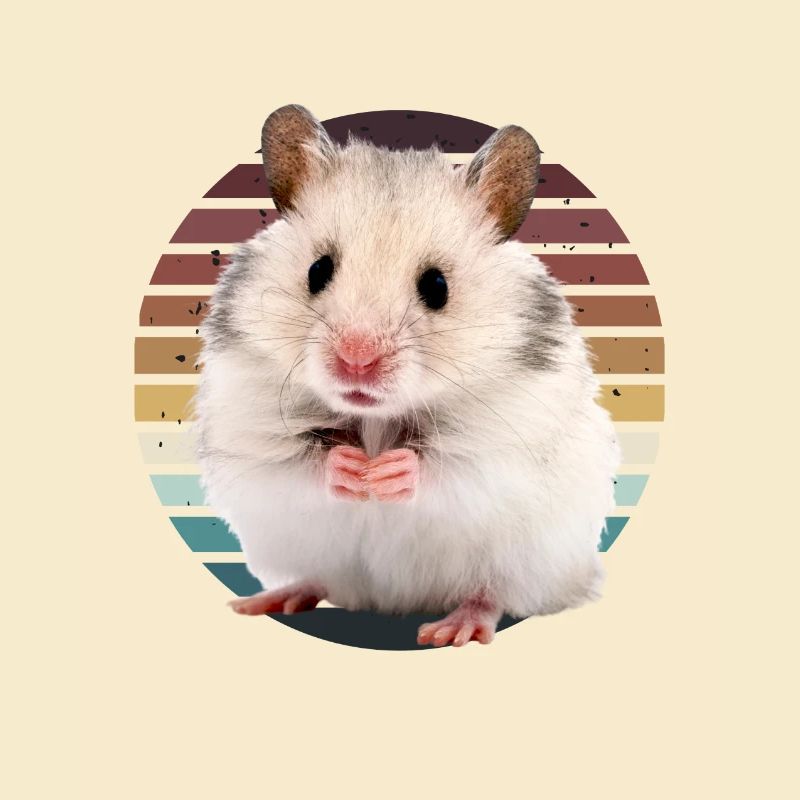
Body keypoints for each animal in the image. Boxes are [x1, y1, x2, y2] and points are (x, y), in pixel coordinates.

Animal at [194, 104, 621, 647]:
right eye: (317, 270)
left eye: (436, 286)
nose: (356, 360)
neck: (376, 419)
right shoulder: (250, 435)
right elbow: (296, 464)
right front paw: (352, 469)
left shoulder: (506, 449)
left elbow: (449, 469)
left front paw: (387, 473)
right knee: (318, 578)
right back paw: (266, 600)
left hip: (533, 560)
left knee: (492, 593)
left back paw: (451, 629)